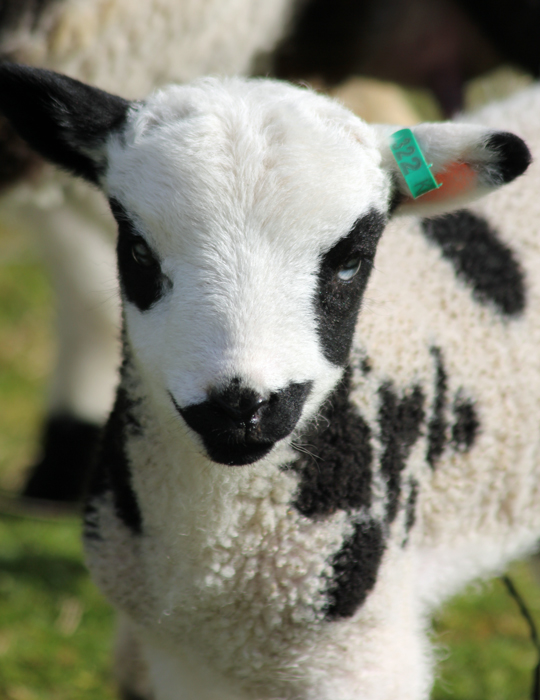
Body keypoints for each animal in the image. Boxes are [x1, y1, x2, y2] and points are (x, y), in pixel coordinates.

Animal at [0, 62, 537, 700]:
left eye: (351, 261)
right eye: (138, 251)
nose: (240, 406)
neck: (221, 559)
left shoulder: (361, 654)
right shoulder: (181, 656)